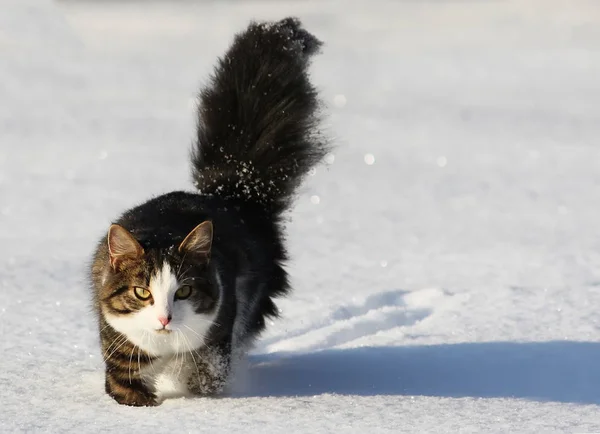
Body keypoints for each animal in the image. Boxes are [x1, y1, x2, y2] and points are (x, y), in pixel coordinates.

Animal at [90, 17, 328, 406]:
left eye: (184, 292)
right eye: (142, 293)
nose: (165, 320)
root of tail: (235, 193)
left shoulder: (217, 336)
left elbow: (207, 380)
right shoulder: (120, 347)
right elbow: (127, 389)